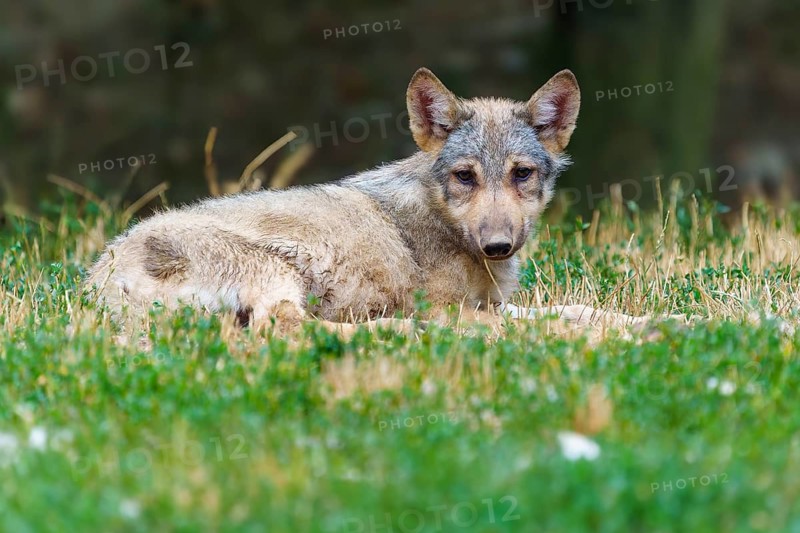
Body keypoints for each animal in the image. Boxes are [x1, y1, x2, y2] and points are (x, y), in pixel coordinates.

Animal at [86, 67, 642, 334]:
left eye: (521, 174)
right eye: (465, 177)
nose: (499, 246)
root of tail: (97, 283)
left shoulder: (496, 302)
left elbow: (578, 311)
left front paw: (655, 325)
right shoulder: (462, 307)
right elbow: (553, 326)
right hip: (277, 274)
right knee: (289, 330)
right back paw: (411, 332)